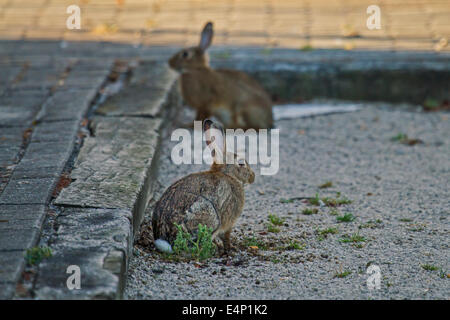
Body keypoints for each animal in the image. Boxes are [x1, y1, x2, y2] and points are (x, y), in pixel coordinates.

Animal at [153, 119, 255, 254]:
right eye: (241, 164)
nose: (253, 177)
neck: (228, 175)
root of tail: (167, 241)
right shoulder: (229, 220)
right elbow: (226, 236)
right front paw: (230, 247)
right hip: (209, 216)